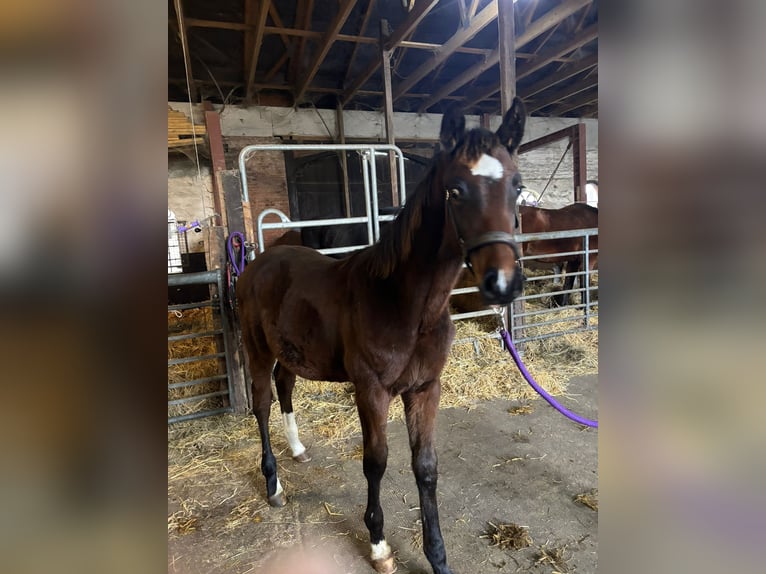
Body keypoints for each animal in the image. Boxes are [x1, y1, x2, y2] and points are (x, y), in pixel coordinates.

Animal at [237, 99, 532, 574]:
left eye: (517, 187)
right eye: (455, 191)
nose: (502, 283)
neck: (407, 304)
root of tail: (257, 261)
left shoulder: (425, 388)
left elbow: (425, 467)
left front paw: (437, 556)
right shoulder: (371, 391)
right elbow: (375, 462)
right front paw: (378, 544)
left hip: (292, 351)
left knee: (285, 386)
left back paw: (298, 449)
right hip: (258, 349)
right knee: (261, 404)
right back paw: (274, 485)